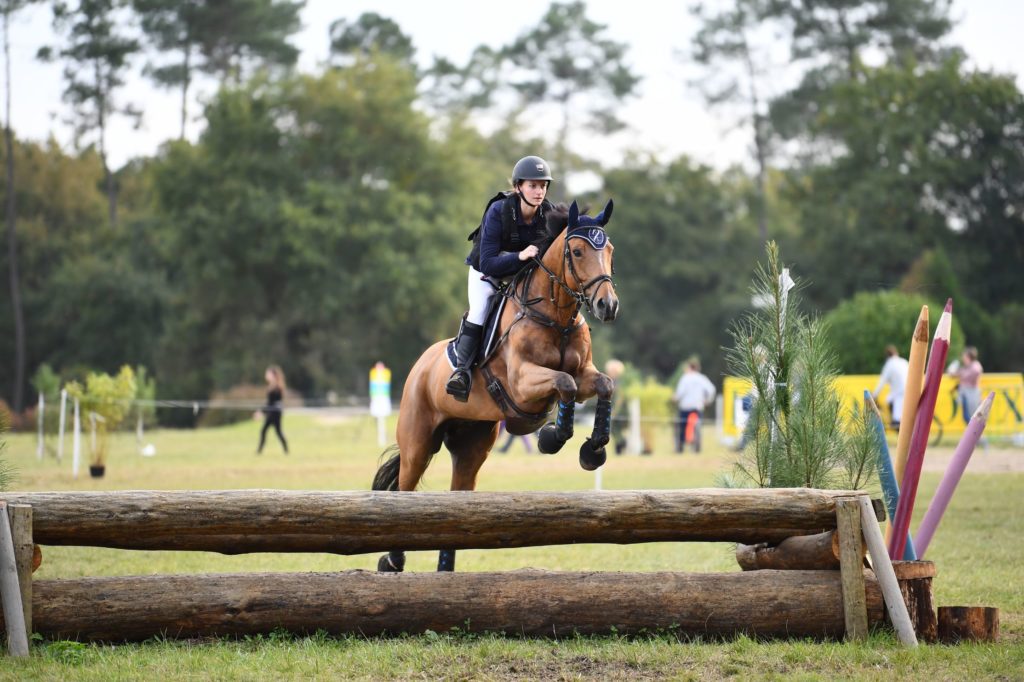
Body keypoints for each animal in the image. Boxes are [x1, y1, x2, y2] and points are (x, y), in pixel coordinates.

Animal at [372, 199, 618, 569]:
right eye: (576, 251)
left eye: (611, 251)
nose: (608, 305)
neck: (555, 318)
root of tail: (420, 367)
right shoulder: (522, 384)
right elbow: (565, 384)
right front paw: (551, 437)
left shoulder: (584, 372)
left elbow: (604, 385)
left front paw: (593, 450)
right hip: (418, 442)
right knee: (405, 487)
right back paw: (392, 561)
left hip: (472, 445)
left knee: (457, 496)